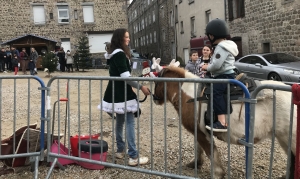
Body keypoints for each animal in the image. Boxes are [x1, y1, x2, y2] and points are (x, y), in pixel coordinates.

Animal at [152, 66, 296, 179]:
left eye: (156, 82)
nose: (154, 98)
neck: (191, 96)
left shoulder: (203, 133)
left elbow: (211, 152)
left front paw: (217, 174)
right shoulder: (198, 131)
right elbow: (198, 147)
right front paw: (196, 163)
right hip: (283, 138)